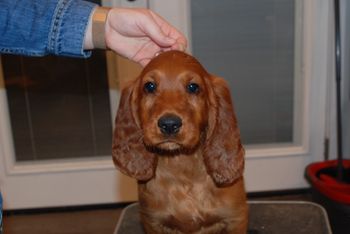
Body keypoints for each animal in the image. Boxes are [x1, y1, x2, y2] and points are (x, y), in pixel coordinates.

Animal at [112, 50, 246, 233]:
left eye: (193, 87)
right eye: (149, 86)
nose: (169, 124)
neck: (182, 163)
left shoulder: (236, 219)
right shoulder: (152, 222)